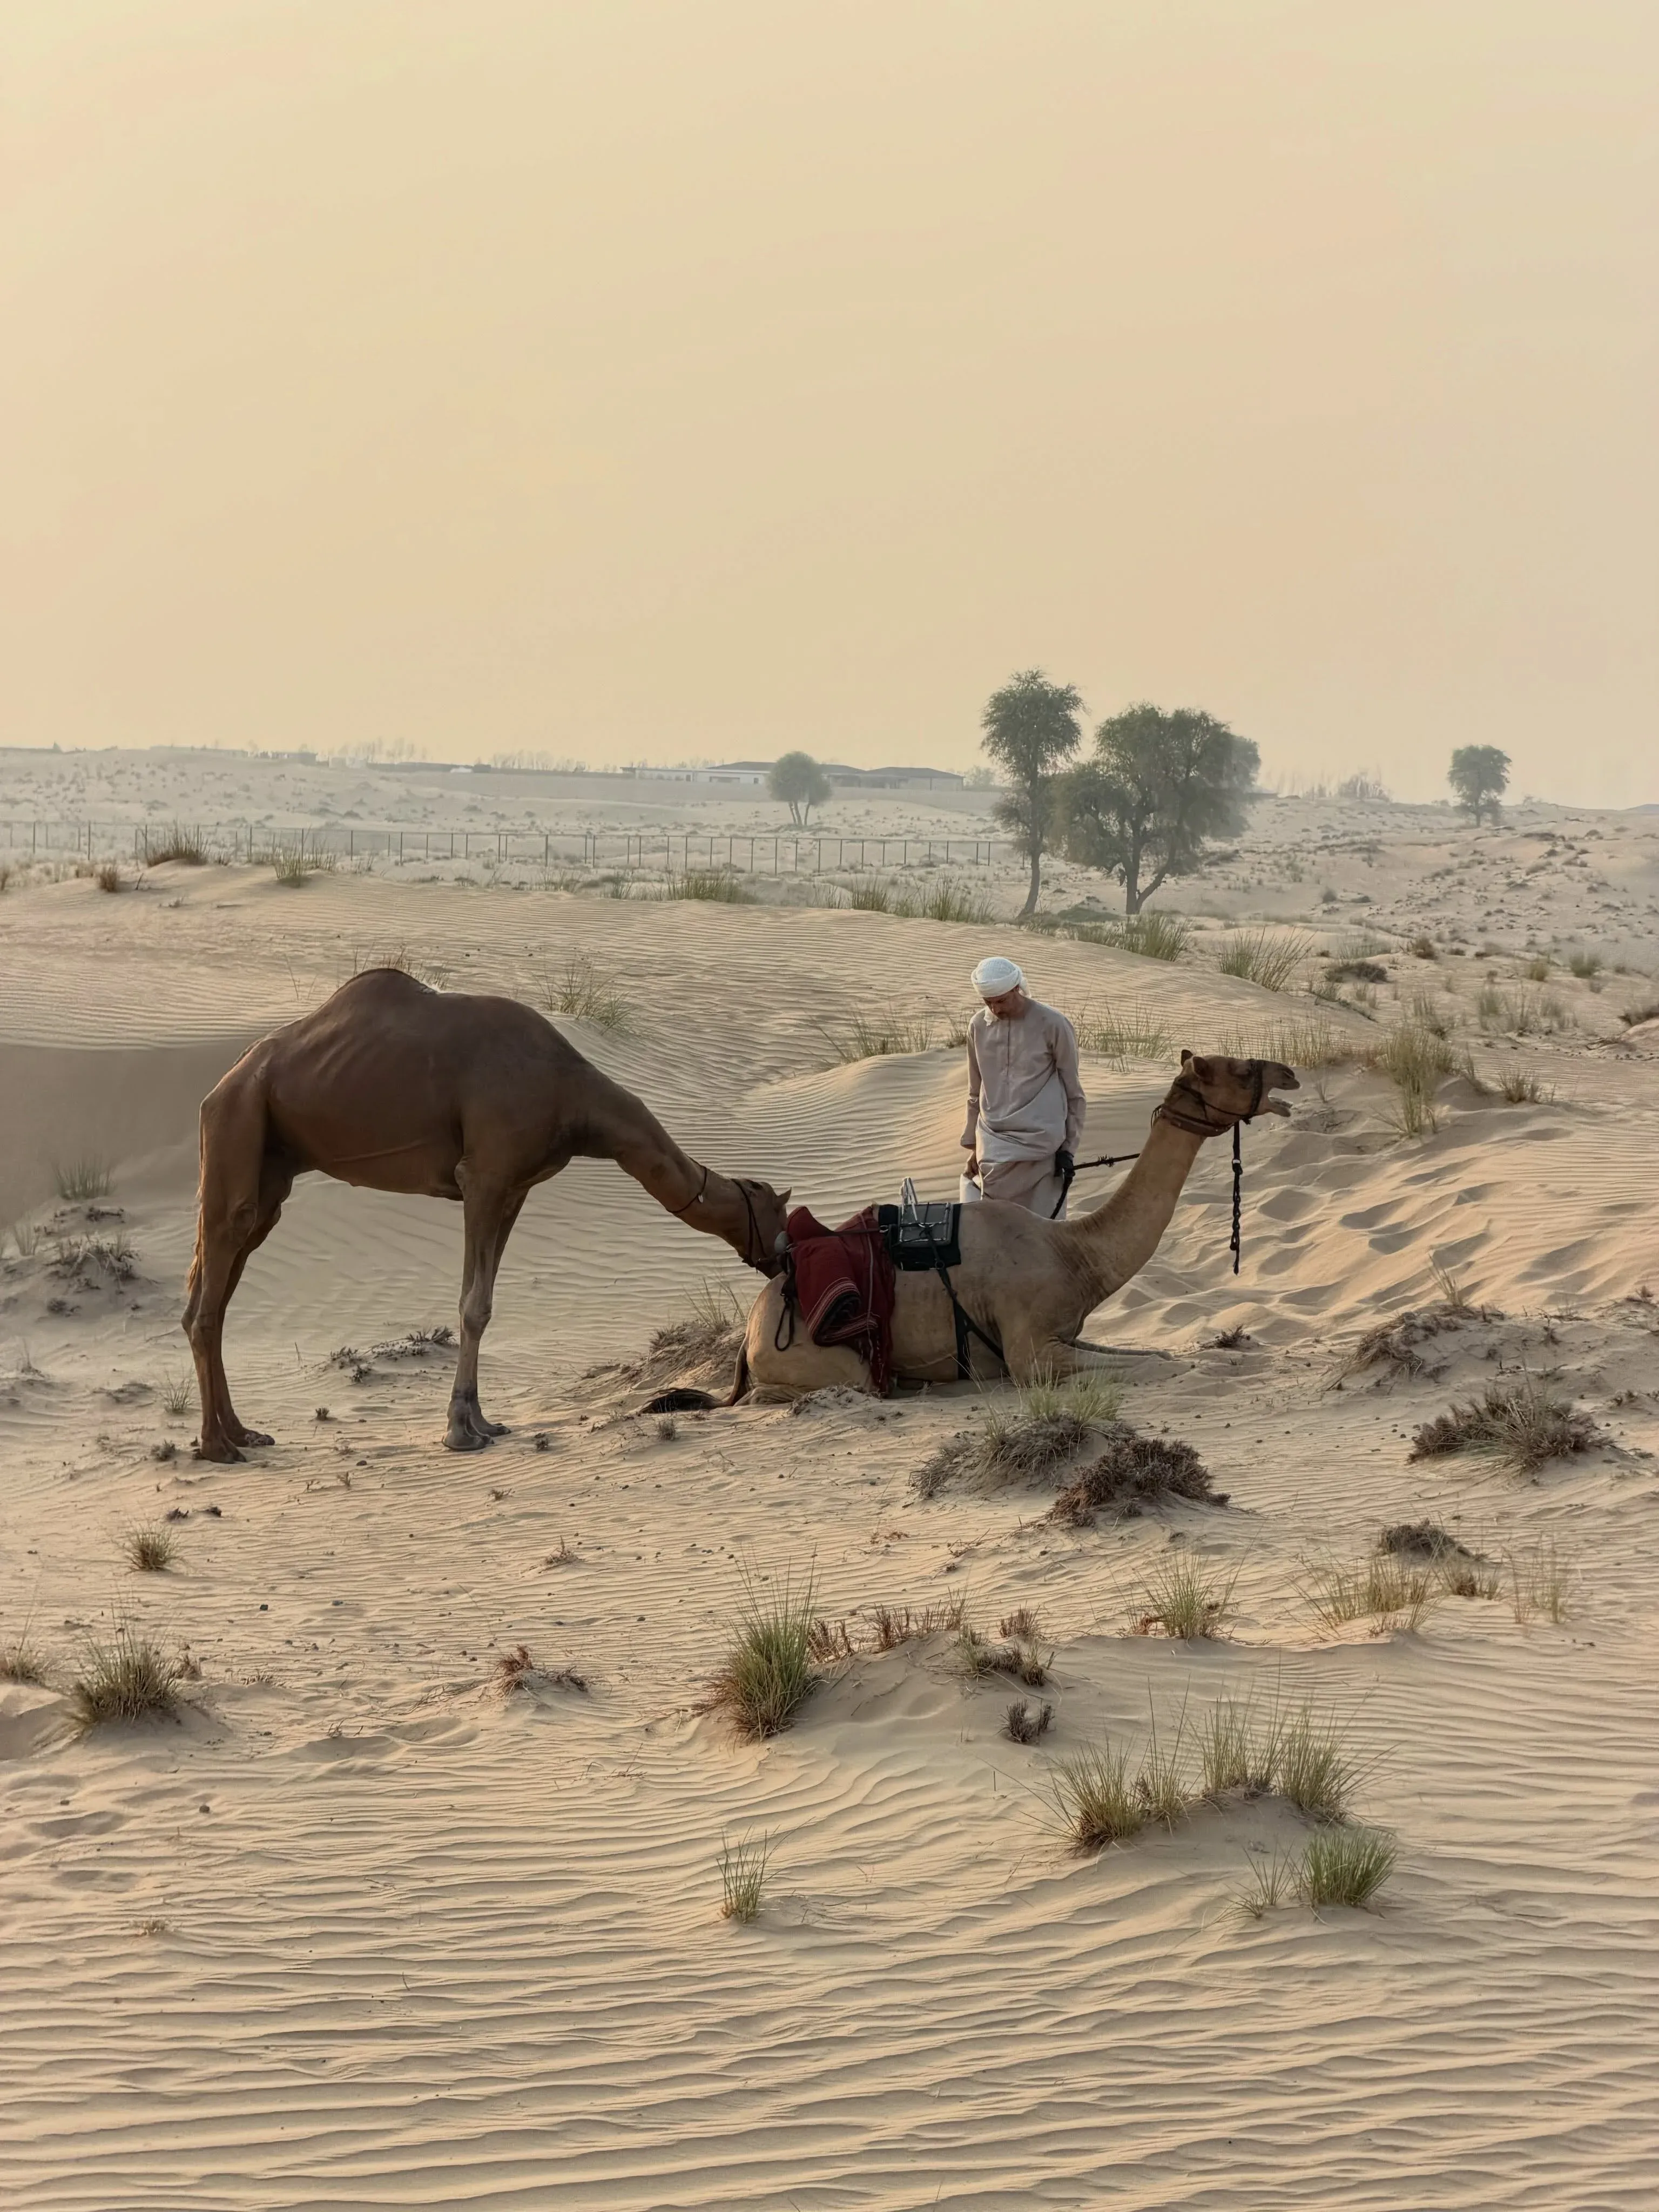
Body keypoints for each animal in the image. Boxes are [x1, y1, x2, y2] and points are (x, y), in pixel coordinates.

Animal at [184, 968, 790, 1461]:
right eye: (780, 1220)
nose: (781, 1262)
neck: (572, 1094)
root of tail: (220, 1084)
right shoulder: (483, 1175)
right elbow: (472, 1305)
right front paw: (460, 1431)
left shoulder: (515, 1188)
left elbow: (487, 1302)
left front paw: (485, 1421)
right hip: (239, 1121)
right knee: (215, 1281)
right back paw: (218, 1446)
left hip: (271, 1166)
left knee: (215, 1289)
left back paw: (241, 1432)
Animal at [732, 1052, 1296, 1399]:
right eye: (1238, 1069)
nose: (1288, 1074)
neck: (1073, 1253)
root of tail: (753, 1324)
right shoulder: (1029, 1350)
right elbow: (1154, 1364)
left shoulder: (1063, 1334)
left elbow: (1148, 1351)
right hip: (814, 1355)